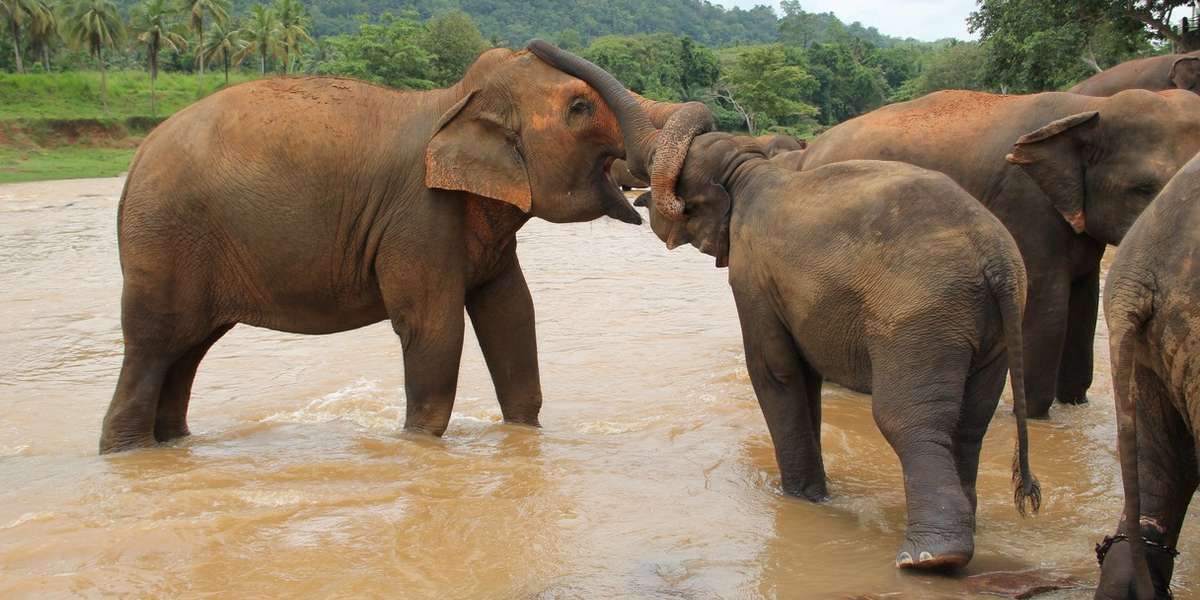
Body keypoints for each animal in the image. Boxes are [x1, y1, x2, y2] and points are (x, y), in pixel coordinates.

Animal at [98, 48, 669, 454]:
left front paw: (525, 435)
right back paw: (127, 452)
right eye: (579, 109)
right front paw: (417, 446)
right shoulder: (419, 215)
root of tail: (136, 159)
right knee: (154, 346)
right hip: (165, 242)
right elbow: (433, 328)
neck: (454, 101)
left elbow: (511, 315)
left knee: (187, 352)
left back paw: (172, 445)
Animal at [529, 40, 1041, 571]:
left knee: (909, 419)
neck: (748, 170)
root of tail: (995, 259)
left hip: (920, 317)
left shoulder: (752, 273)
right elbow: (802, 375)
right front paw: (814, 498)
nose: (532, 47)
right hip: (989, 326)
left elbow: (774, 370)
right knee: (972, 420)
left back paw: (930, 558)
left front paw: (799, 499)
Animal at [792, 88, 1200, 419]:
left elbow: (1084, 304)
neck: (1091, 108)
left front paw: (1075, 405)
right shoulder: (1027, 205)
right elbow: (1046, 308)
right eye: (1142, 189)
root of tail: (809, 153)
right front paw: (1036, 417)